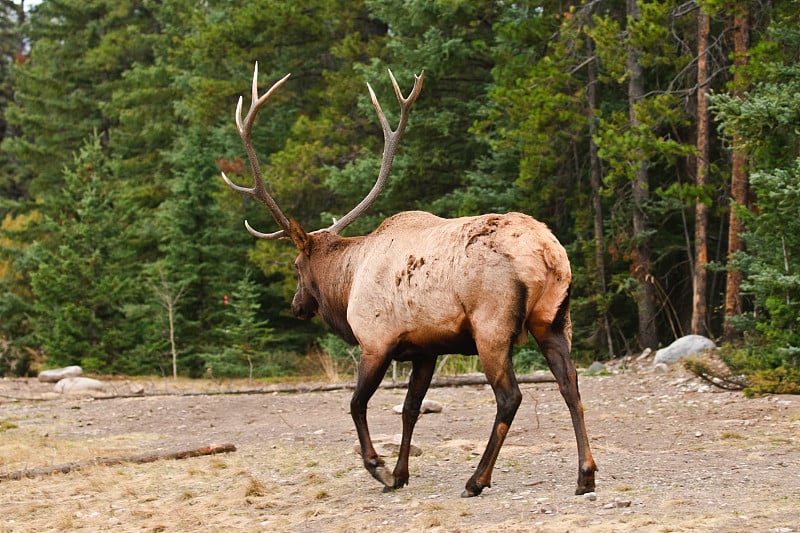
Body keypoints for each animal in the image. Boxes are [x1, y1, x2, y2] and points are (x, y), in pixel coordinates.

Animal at [222, 64, 596, 496]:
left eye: (297, 266)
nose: (297, 306)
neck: (348, 281)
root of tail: (547, 253)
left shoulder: (375, 341)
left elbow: (356, 404)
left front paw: (379, 468)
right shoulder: (424, 349)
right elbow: (410, 409)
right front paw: (400, 474)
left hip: (492, 324)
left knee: (510, 396)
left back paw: (477, 479)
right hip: (554, 318)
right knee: (571, 384)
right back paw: (585, 475)